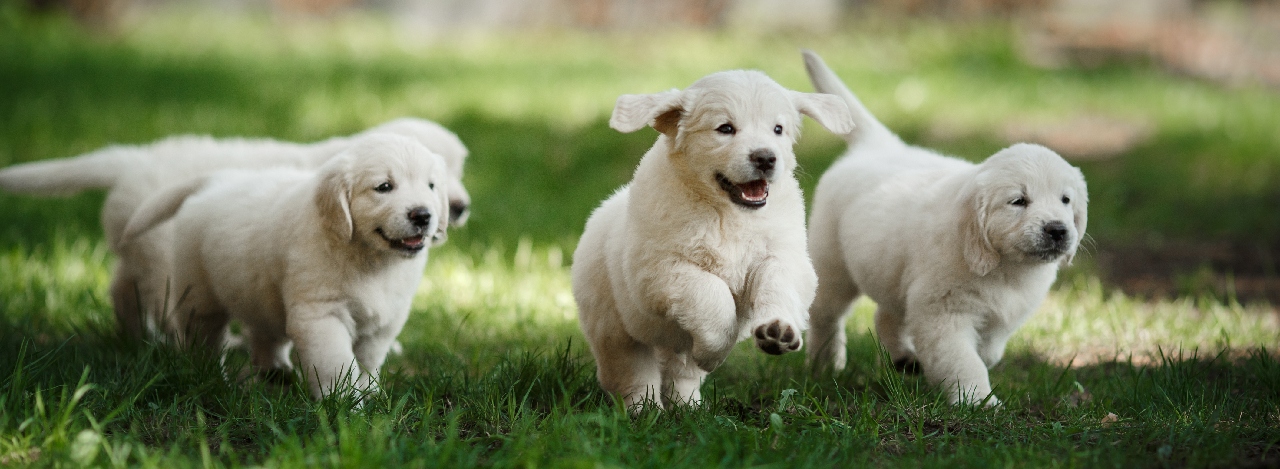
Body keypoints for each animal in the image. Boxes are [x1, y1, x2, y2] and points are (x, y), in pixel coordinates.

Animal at [0, 116, 471, 338]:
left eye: (457, 170)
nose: (460, 208)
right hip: (164, 254)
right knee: (162, 300)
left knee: (121, 288)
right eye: (387, 186)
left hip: (137, 246)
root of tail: (131, 160)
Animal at [120, 132, 450, 399]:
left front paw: (370, 393)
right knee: (204, 339)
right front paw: (345, 405)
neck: (371, 258)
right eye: (383, 187)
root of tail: (217, 181)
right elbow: (337, 363)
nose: (423, 215)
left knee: (264, 334)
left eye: (432, 186)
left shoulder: (385, 320)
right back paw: (211, 376)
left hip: (260, 293)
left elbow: (368, 360)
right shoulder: (321, 315)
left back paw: (276, 373)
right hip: (199, 296)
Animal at [576, 68, 855, 410]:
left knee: (681, 373)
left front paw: (778, 330)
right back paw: (646, 411)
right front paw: (716, 351)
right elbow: (711, 294)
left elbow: (778, 284)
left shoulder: (782, 255)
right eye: (725, 129)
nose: (765, 158)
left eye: (778, 129)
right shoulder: (659, 270)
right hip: (614, 327)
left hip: (672, 347)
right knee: (632, 373)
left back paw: (688, 408)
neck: (727, 213)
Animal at [803, 49, 1085, 404]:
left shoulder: (1003, 313)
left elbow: (989, 349)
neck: (1005, 267)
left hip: (892, 272)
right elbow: (964, 360)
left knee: (886, 315)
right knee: (825, 316)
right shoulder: (943, 312)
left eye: (1065, 200)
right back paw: (825, 365)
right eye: (1018, 201)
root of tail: (879, 145)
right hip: (832, 266)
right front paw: (978, 401)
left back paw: (903, 359)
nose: (1057, 230)